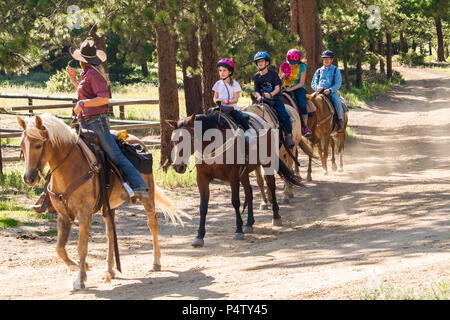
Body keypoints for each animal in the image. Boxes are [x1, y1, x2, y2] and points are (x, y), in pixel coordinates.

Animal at [17, 114, 183, 292]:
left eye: (38, 145)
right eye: (21, 145)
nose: (28, 178)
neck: (70, 168)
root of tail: (140, 142)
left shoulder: (84, 214)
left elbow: (82, 247)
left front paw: (80, 279)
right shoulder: (63, 214)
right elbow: (59, 248)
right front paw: (78, 267)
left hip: (148, 195)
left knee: (152, 224)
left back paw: (155, 262)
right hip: (109, 207)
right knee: (111, 233)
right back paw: (109, 270)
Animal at [167, 112, 304, 248]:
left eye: (187, 139)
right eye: (173, 140)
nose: (178, 166)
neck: (213, 144)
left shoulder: (233, 177)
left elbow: (235, 202)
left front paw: (238, 230)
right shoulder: (202, 179)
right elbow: (203, 207)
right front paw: (199, 236)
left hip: (267, 163)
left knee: (271, 185)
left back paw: (276, 217)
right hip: (244, 173)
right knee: (249, 193)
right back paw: (249, 223)